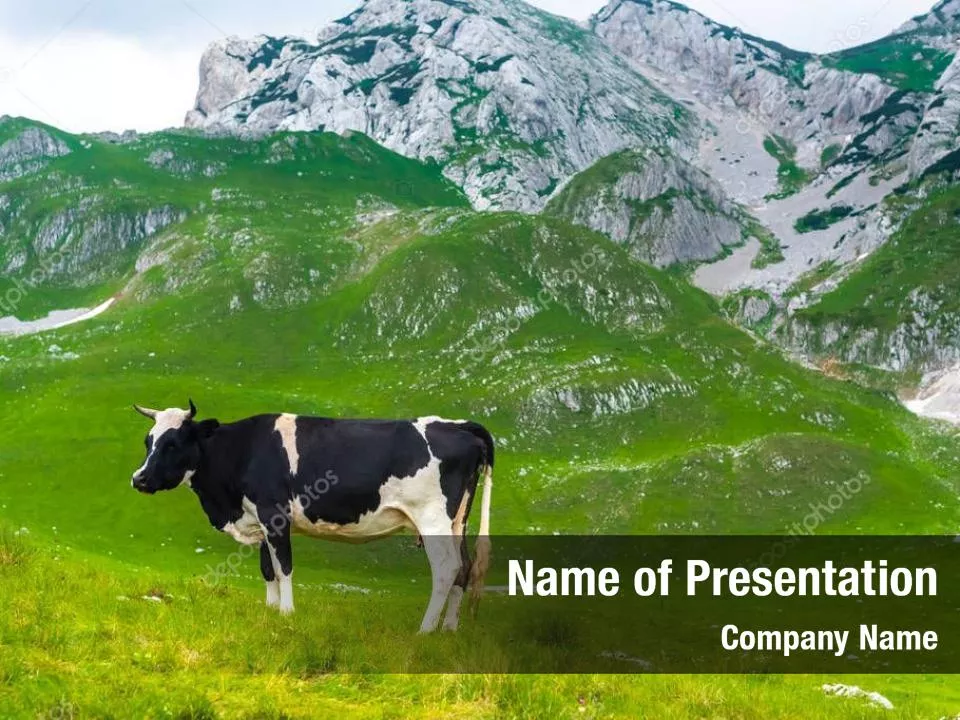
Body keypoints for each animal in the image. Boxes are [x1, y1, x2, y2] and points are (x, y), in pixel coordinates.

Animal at [130, 400, 494, 633]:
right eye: (148, 441)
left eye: (173, 443)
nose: (139, 479)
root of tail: (460, 426)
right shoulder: (259, 519)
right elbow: (267, 569)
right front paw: (270, 611)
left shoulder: (274, 513)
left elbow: (284, 567)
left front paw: (287, 614)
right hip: (458, 522)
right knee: (464, 567)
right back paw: (449, 630)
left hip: (432, 519)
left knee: (447, 569)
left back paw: (425, 630)